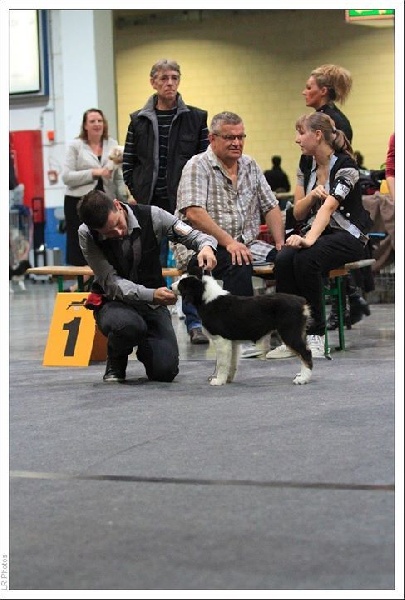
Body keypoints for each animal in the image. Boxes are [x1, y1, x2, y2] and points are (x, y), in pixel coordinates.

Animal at [172, 274, 313, 385]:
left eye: (182, 284)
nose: (171, 287)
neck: (207, 298)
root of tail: (301, 301)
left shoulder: (221, 340)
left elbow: (222, 363)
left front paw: (218, 380)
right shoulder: (232, 342)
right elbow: (232, 362)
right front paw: (228, 379)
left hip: (290, 332)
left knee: (306, 353)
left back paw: (303, 379)